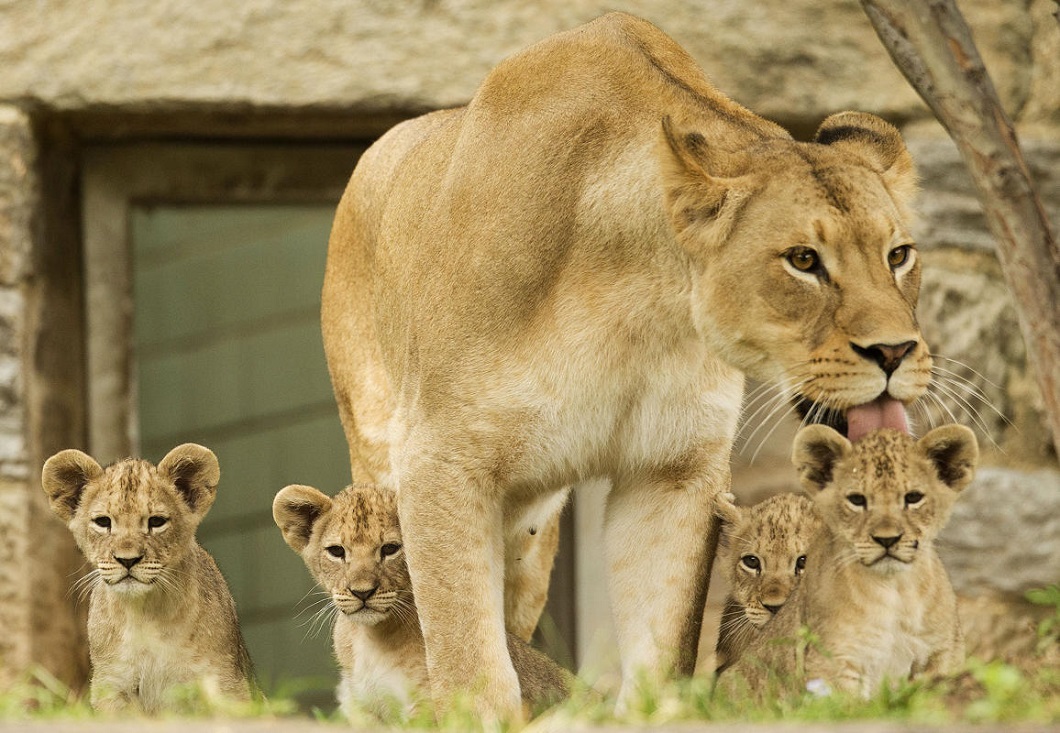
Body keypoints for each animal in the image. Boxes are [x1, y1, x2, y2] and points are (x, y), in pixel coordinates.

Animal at [320, 11, 928, 720]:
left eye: (899, 255)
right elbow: (468, 656)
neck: (639, 299)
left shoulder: (672, 468)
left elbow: (661, 648)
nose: (895, 352)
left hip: (530, 543)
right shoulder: (441, 459)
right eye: (803, 260)